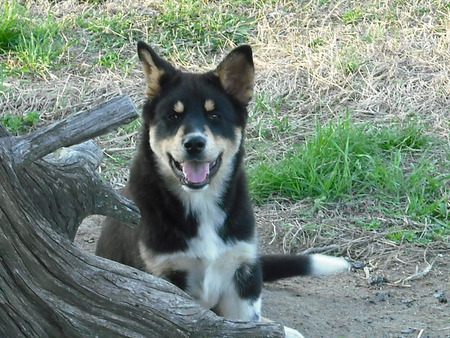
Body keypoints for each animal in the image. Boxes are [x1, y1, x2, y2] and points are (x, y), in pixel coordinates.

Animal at [96, 41, 352, 336]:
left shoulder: (240, 273)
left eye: (215, 115)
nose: (194, 143)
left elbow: (247, 323)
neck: (201, 202)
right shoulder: (163, 281)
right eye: (173, 116)